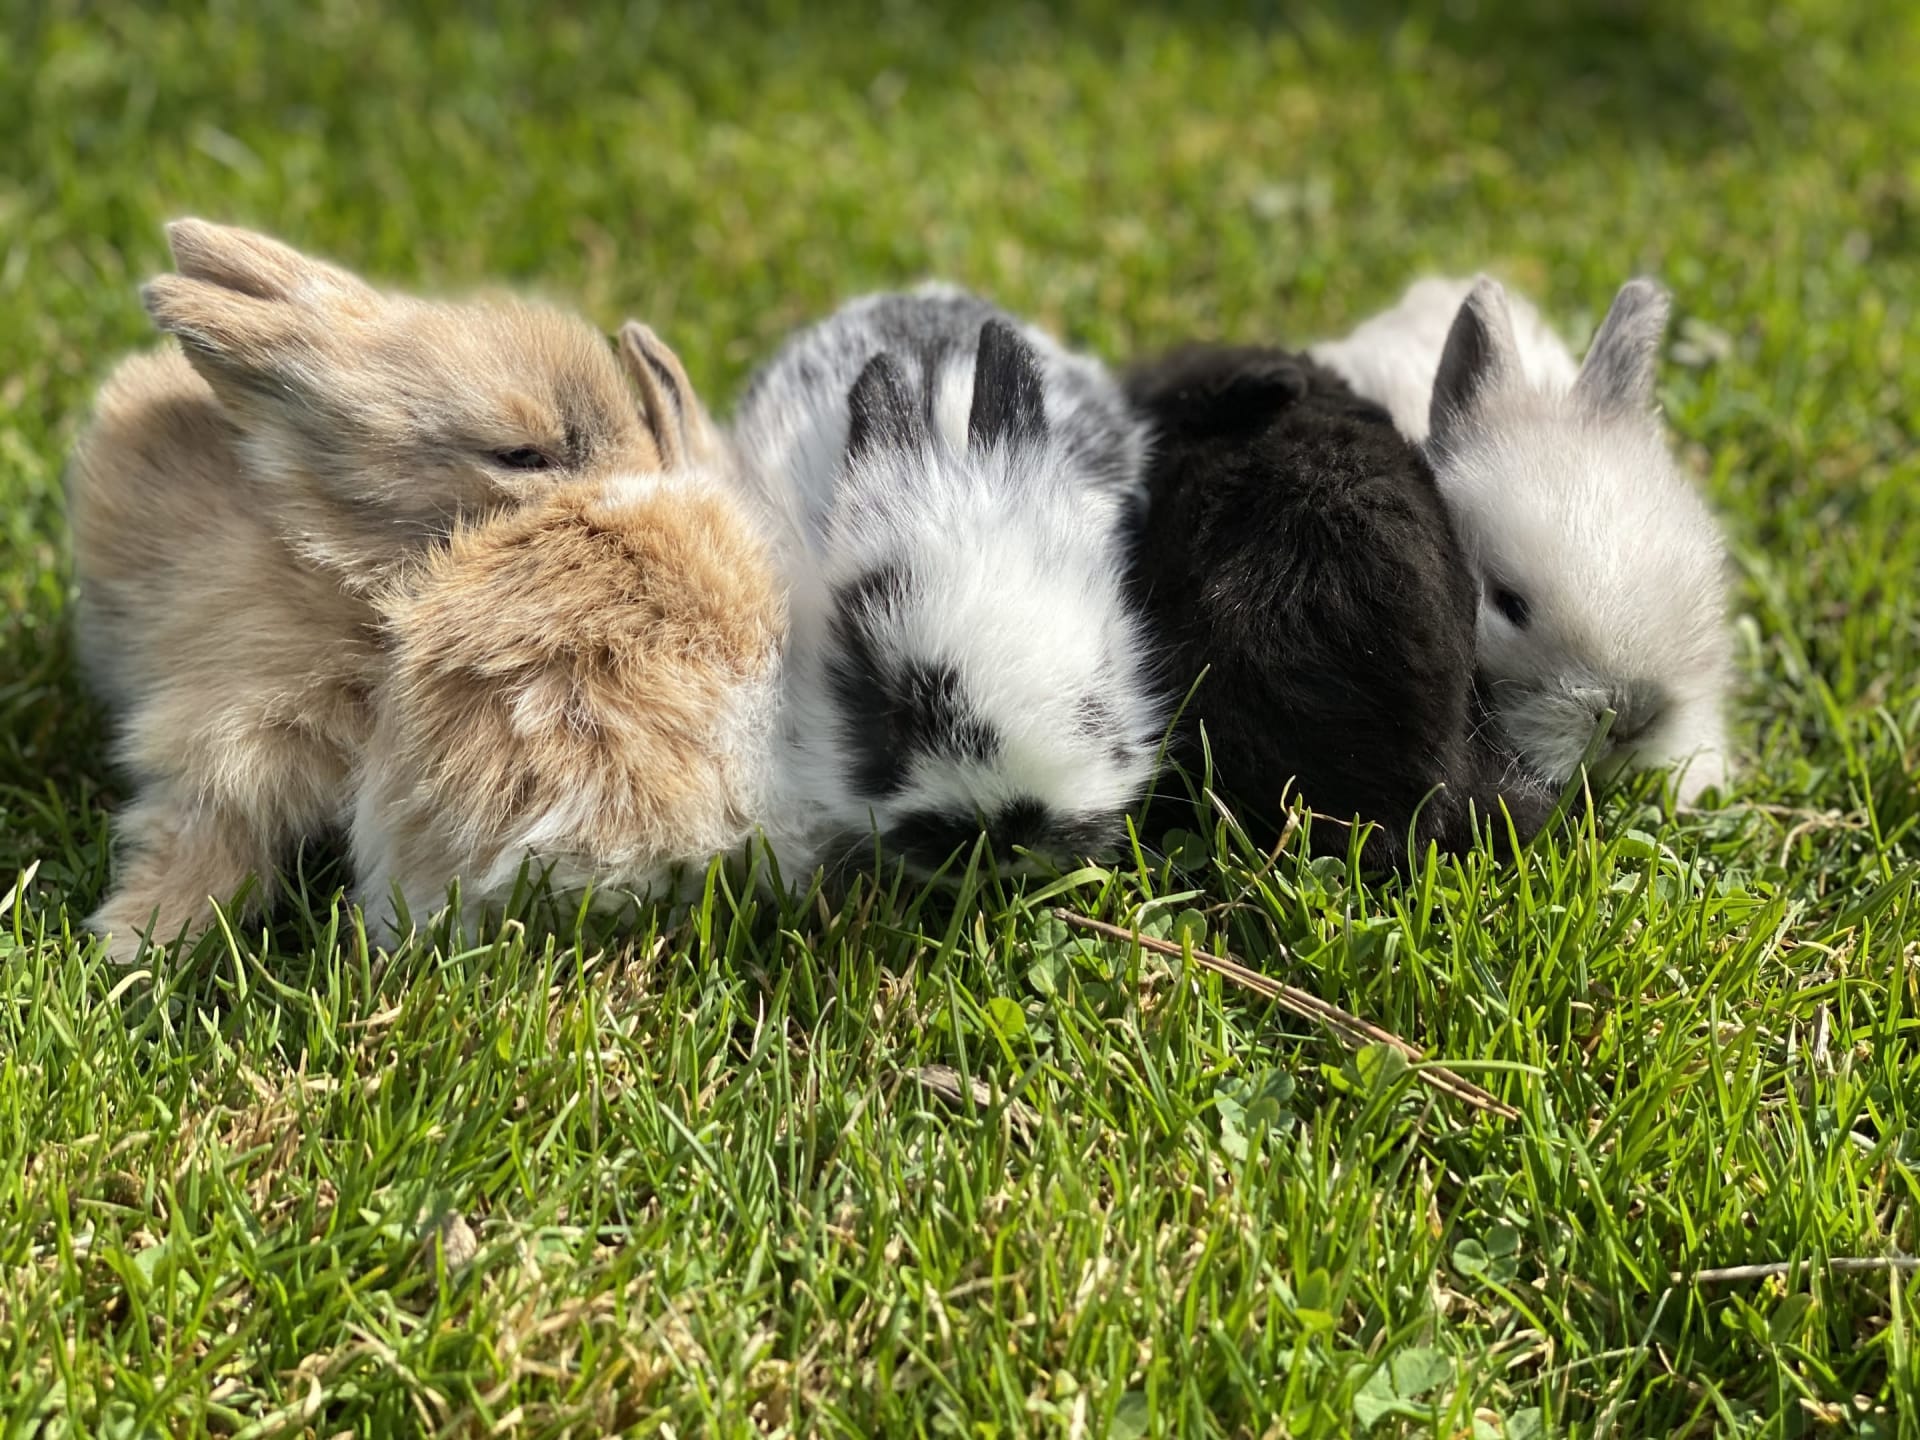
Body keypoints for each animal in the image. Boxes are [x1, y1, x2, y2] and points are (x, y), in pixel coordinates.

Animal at [68, 219, 693, 960]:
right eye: (521, 455)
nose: (649, 482)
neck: (361, 576)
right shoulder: (225, 747)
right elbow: (203, 846)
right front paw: (137, 943)